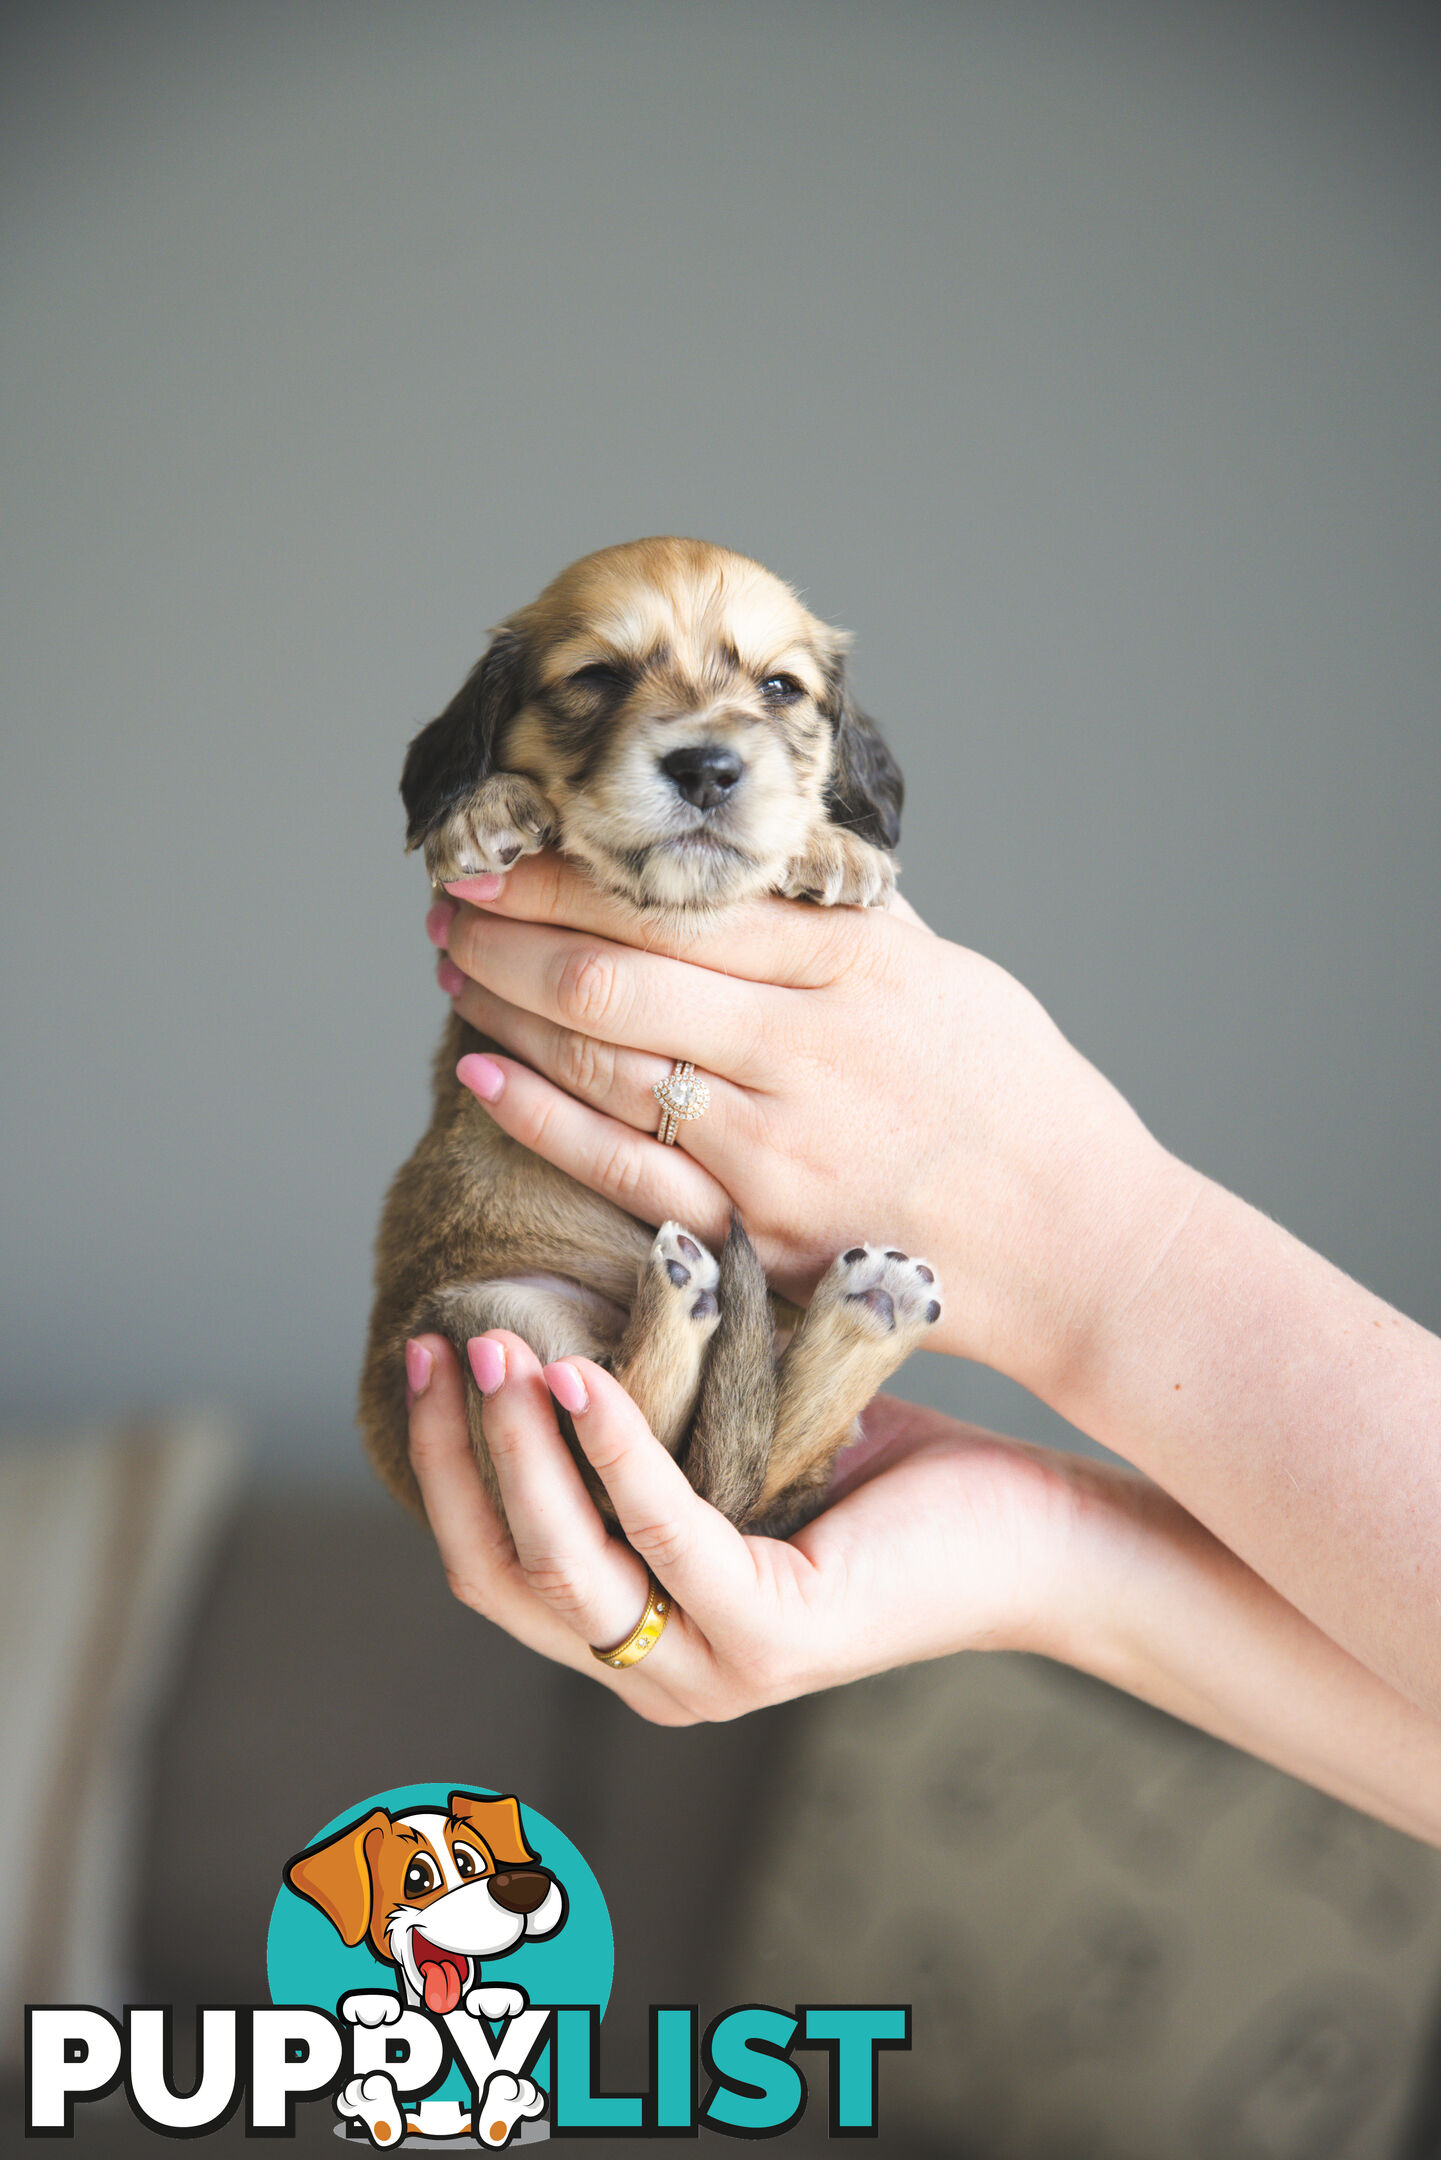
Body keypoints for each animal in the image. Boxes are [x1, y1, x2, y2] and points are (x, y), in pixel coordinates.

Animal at [360, 535, 941, 1537]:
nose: (706, 767)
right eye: (595, 676)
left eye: (780, 688)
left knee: (735, 1466)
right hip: (497, 1316)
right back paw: (700, 1298)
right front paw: (482, 809)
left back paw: (863, 1310)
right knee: (649, 1446)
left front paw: (834, 847)